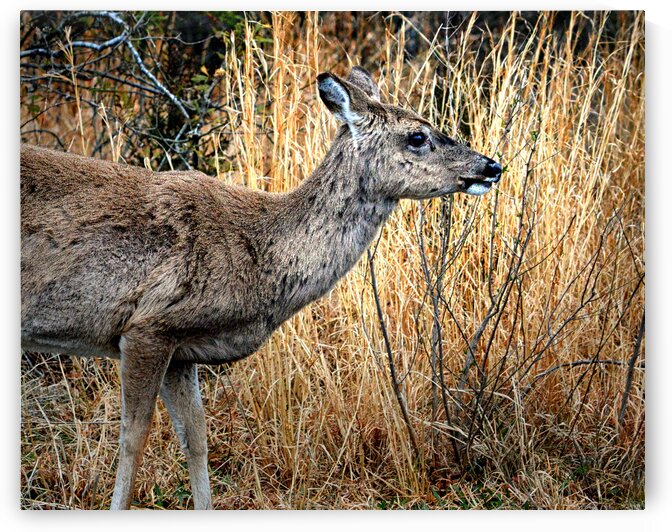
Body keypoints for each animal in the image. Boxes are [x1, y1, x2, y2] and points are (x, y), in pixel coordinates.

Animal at [21, 67, 501, 510]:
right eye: (417, 136)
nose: (491, 165)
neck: (259, 256)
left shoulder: (180, 346)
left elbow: (196, 438)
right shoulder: (145, 327)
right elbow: (133, 439)